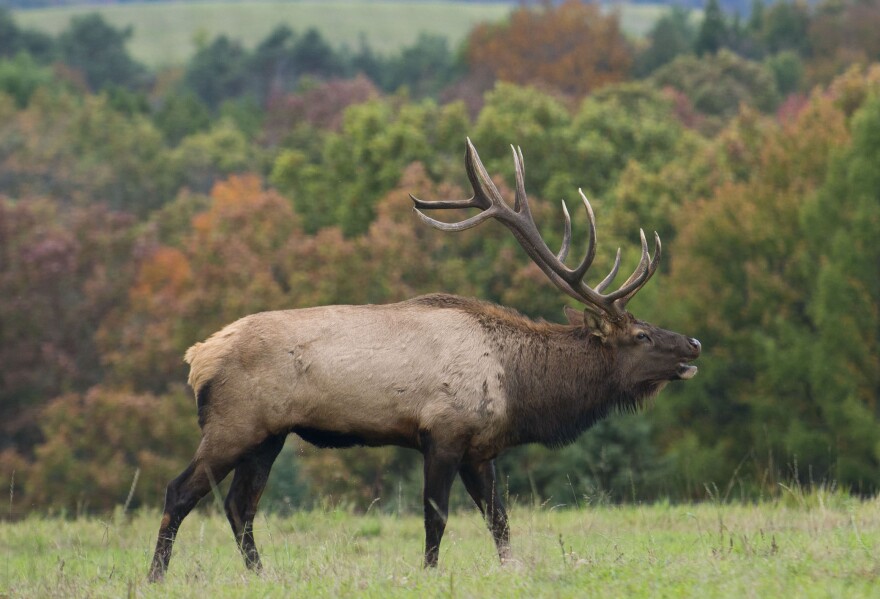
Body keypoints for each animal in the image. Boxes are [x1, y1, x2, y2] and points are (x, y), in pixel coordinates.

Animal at [147, 139, 701, 581]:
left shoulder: (481, 449)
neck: (518, 386)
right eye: (642, 335)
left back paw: (261, 575)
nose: (693, 345)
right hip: (233, 424)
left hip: (269, 436)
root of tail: (197, 356)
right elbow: (437, 516)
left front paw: (512, 570)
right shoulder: (443, 433)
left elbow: (499, 520)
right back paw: (156, 576)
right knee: (180, 492)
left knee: (239, 505)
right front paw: (431, 573)